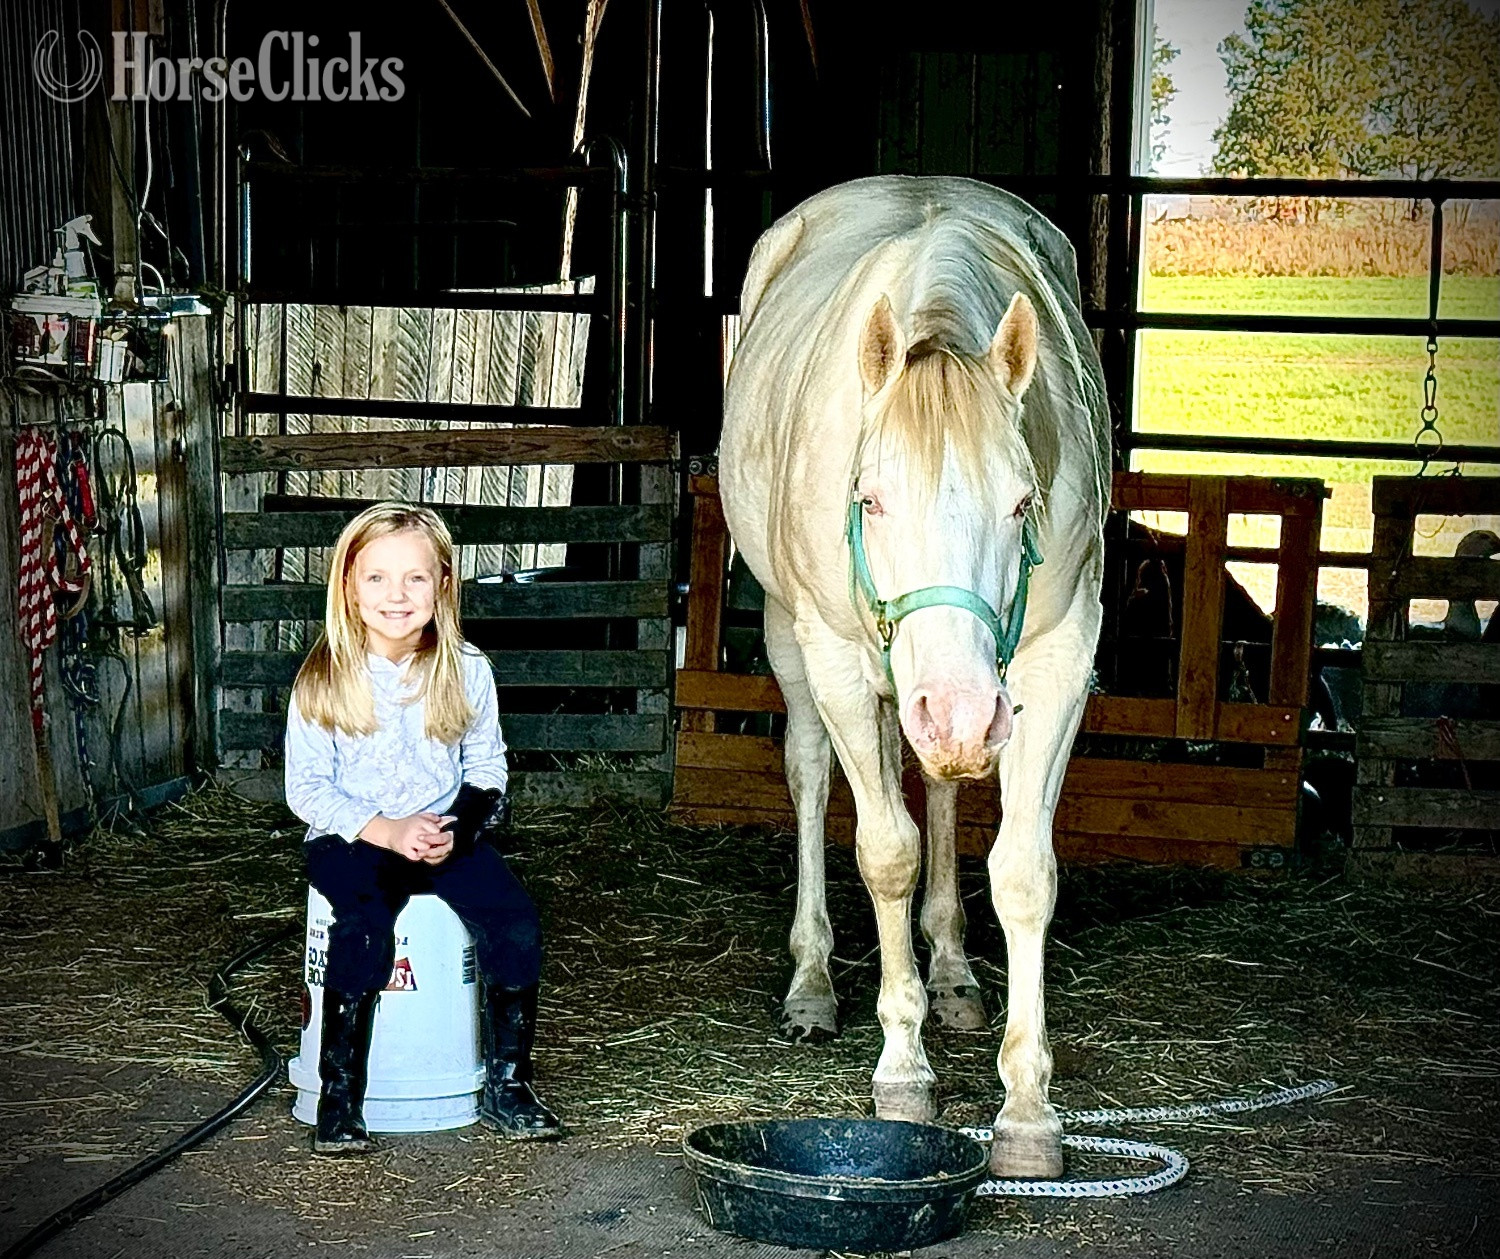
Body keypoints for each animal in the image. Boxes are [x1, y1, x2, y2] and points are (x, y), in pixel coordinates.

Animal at [718, 175, 1109, 1179]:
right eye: (871, 499)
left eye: (1023, 502)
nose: (962, 715)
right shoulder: (838, 660)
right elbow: (884, 851)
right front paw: (901, 1067)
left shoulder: (1056, 659)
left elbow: (1021, 871)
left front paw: (1026, 1109)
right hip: (807, 650)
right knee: (815, 778)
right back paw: (813, 982)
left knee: (936, 788)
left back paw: (953, 972)